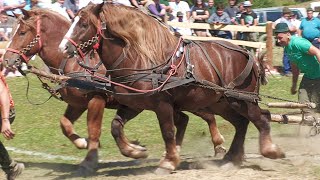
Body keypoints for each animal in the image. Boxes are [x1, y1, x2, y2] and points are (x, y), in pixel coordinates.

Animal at [3, 8, 226, 173]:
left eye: (22, 33)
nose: (6, 60)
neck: (74, 62)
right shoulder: (77, 104)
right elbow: (65, 124)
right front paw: (84, 143)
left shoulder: (97, 99)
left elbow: (95, 129)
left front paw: (90, 159)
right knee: (186, 119)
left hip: (194, 99)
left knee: (208, 116)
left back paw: (218, 145)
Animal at [60, 2, 284, 174]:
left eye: (84, 24)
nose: (63, 47)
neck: (141, 60)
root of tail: (247, 53)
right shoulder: (135, 104)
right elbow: (116, 127)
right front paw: (135, 151)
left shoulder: (162, 104)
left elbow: (168, 131)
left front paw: (167, 162)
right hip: (222, 103)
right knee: (241, 123)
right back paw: (231, 158)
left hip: (241, 99)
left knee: (261, 119)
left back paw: (271, 150)